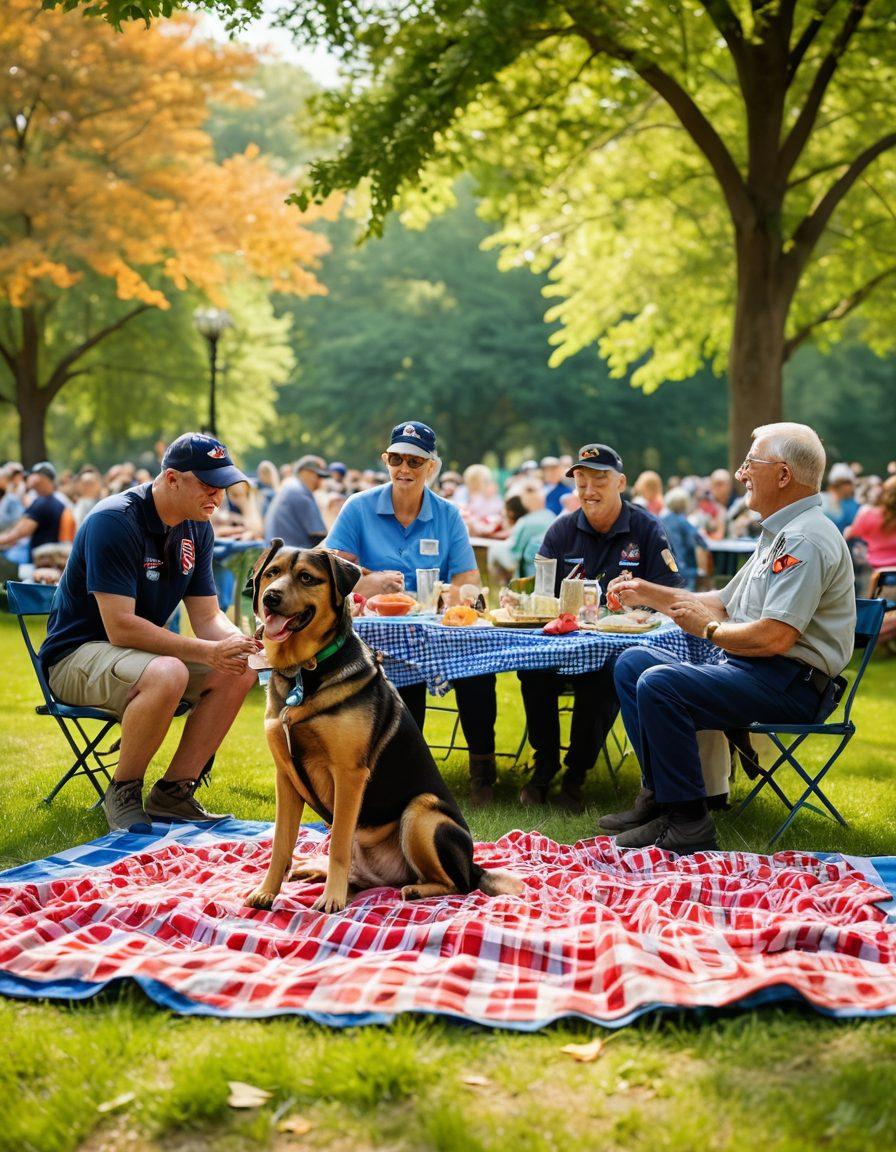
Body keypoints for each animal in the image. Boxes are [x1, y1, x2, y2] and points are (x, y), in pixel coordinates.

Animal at [244, 543, 522, 912]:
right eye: (272, 573)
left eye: (306, 577)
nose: (270, 598)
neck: (304, 670)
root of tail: (473, 864)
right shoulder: (285, 776)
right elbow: (280, 843)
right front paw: (267, 891)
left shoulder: (349, 775)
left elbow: (338, 844)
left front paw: (331, 900)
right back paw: (319, 872)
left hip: (423, 812)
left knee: (458, 884)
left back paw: (414, 889)